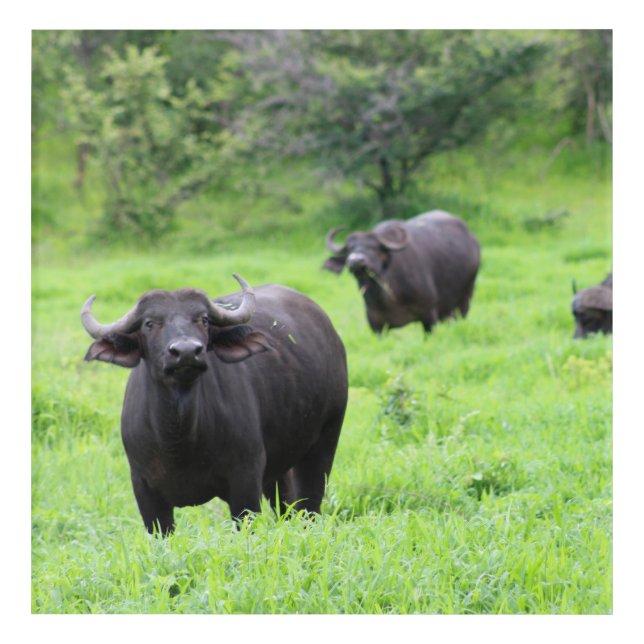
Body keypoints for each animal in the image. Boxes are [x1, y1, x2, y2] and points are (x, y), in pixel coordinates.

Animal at [81, 274, 348, 534]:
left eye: (204, 320)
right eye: (149, 323)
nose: (186, 351)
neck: (179, 438)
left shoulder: (246, 481)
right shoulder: (145, 491)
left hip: (326, 440)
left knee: (309, 507)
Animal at [323, 210, 481, 334]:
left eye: (374, 247)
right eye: (350, 249)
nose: (355, 261)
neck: (386, 297)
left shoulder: (429, 315)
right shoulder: (376, 324)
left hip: (465, 299)